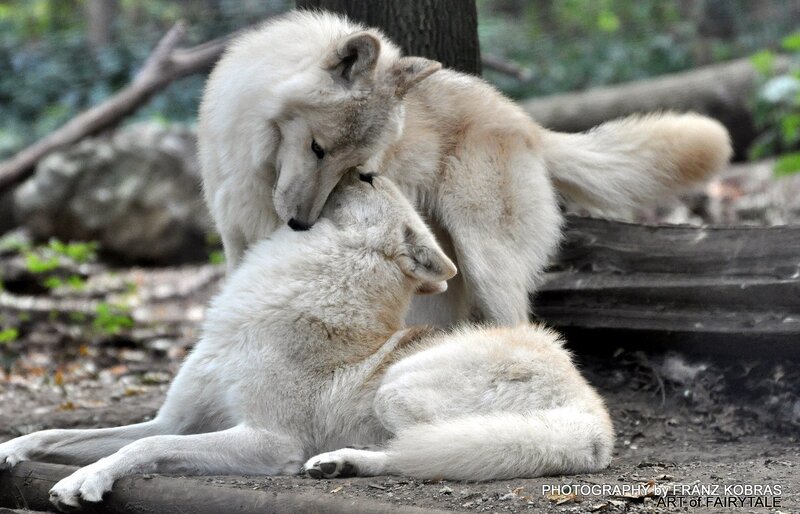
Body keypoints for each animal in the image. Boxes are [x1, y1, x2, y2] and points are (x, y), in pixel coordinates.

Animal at [0, 171, 612, 508]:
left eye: (368, 179)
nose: (358, 164)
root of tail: (596, 421)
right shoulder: (172, 419)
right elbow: (69, 433)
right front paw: (13, 449)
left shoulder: (270, 442)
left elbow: (140, 449)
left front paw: (85, 481)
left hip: (396, 390)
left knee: (418, 454)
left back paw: (340, 462)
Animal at [199, 10, 732, 327]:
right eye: (318, 149)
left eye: (359, 170)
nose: (301, 224)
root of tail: (528, 124)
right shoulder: (235, 239)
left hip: (486, 263)